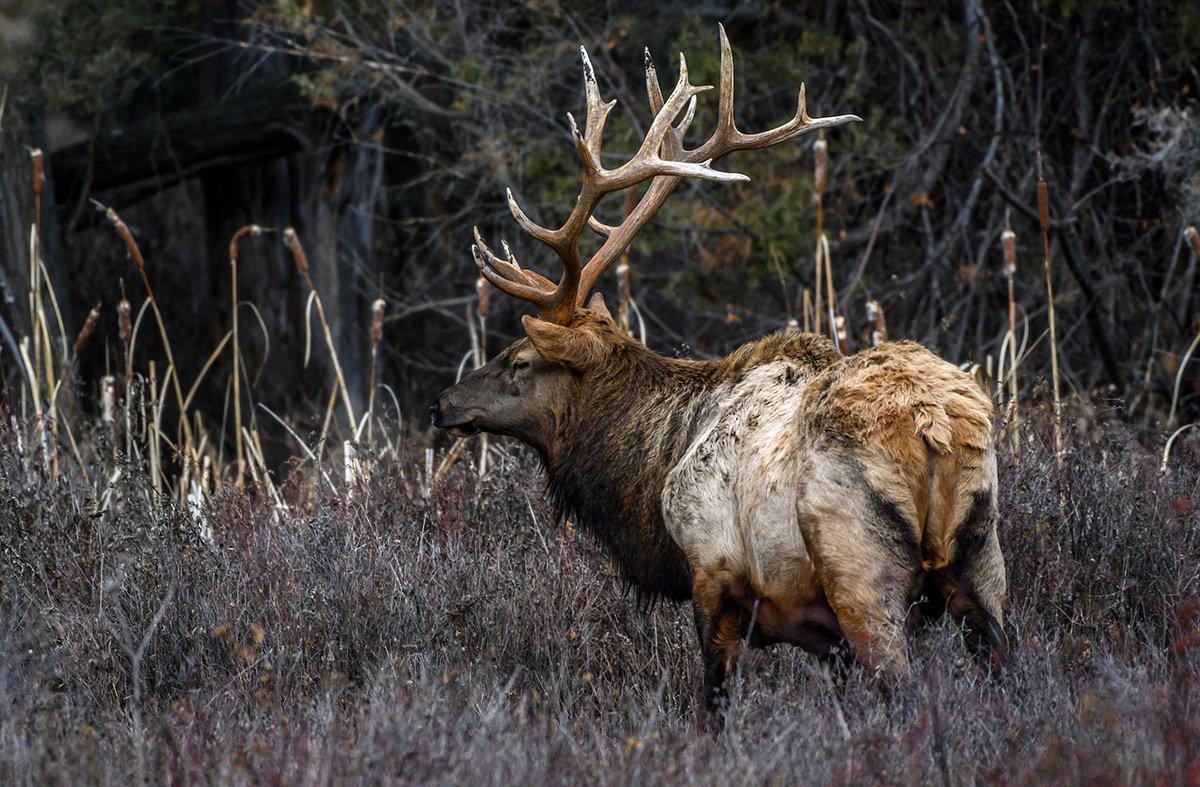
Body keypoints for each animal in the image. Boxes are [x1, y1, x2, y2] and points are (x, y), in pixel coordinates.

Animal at [432, 26, 1003, 719]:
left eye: (518, 359)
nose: (442, 402)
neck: (649, 476)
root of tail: (934, 426)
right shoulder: (822, 637)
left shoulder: (714, 570)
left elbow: (712, 701)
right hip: (983, 560)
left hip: (860, 569)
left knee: (904, 682)